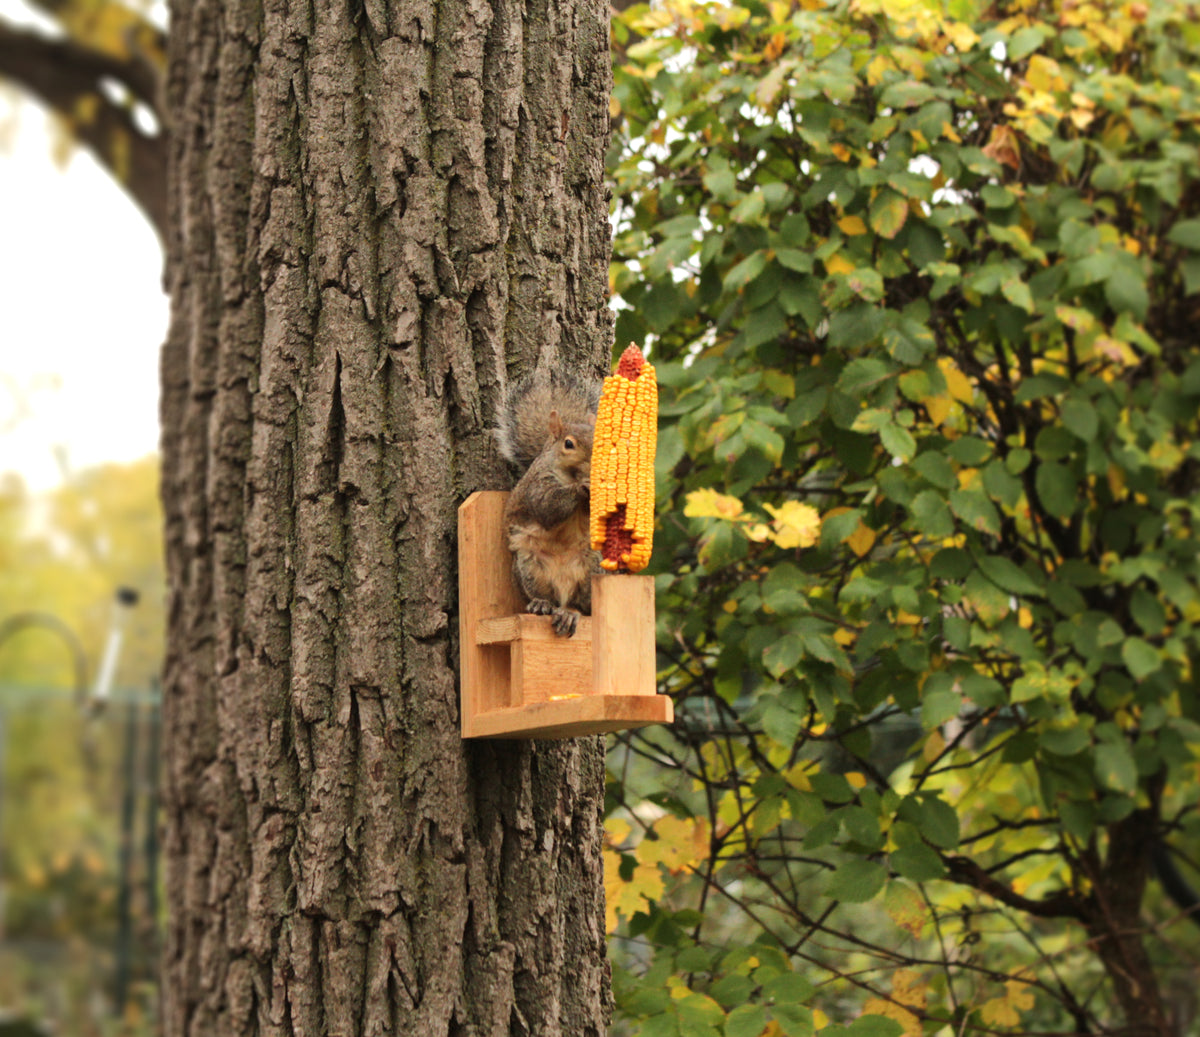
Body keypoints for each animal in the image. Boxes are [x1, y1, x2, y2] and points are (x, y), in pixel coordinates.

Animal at [496, 369, 603, 637]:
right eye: (568, 444)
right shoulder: (536, 486)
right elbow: (547, 506)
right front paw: (580, 487)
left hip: (592, 569)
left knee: (580, 606)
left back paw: (570, 612)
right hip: (529, 566)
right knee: (546, 597)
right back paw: (542, 603)